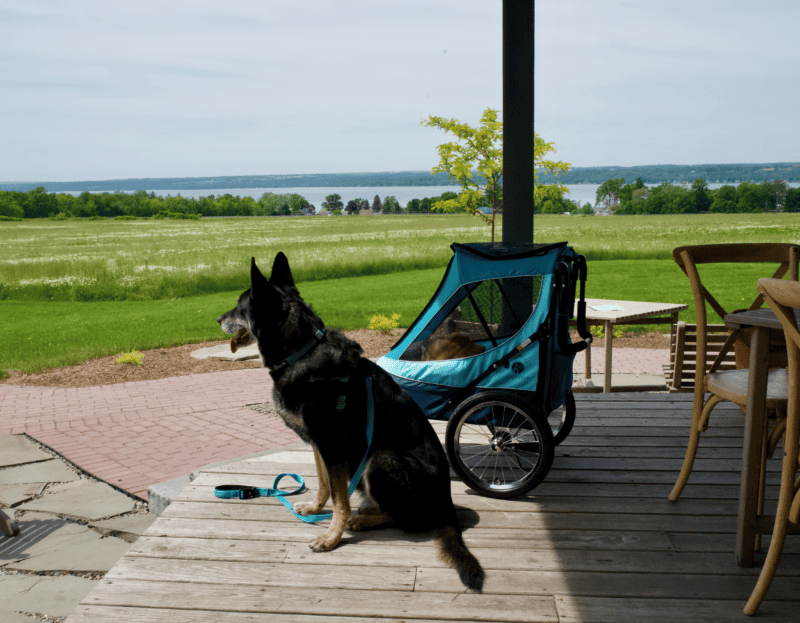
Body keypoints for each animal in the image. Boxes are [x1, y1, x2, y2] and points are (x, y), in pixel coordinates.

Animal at [216, 255, 484, 596]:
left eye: (239, 307)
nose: (218, 318)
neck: (300, 350)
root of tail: (446, 504)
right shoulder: (319, 446)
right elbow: (324, 485)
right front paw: (316, 508)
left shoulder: (331, 446)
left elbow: (340, 500)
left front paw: (332, 537)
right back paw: (369, 511)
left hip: (379, 459)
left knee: (406, 519)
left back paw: (365, 519)